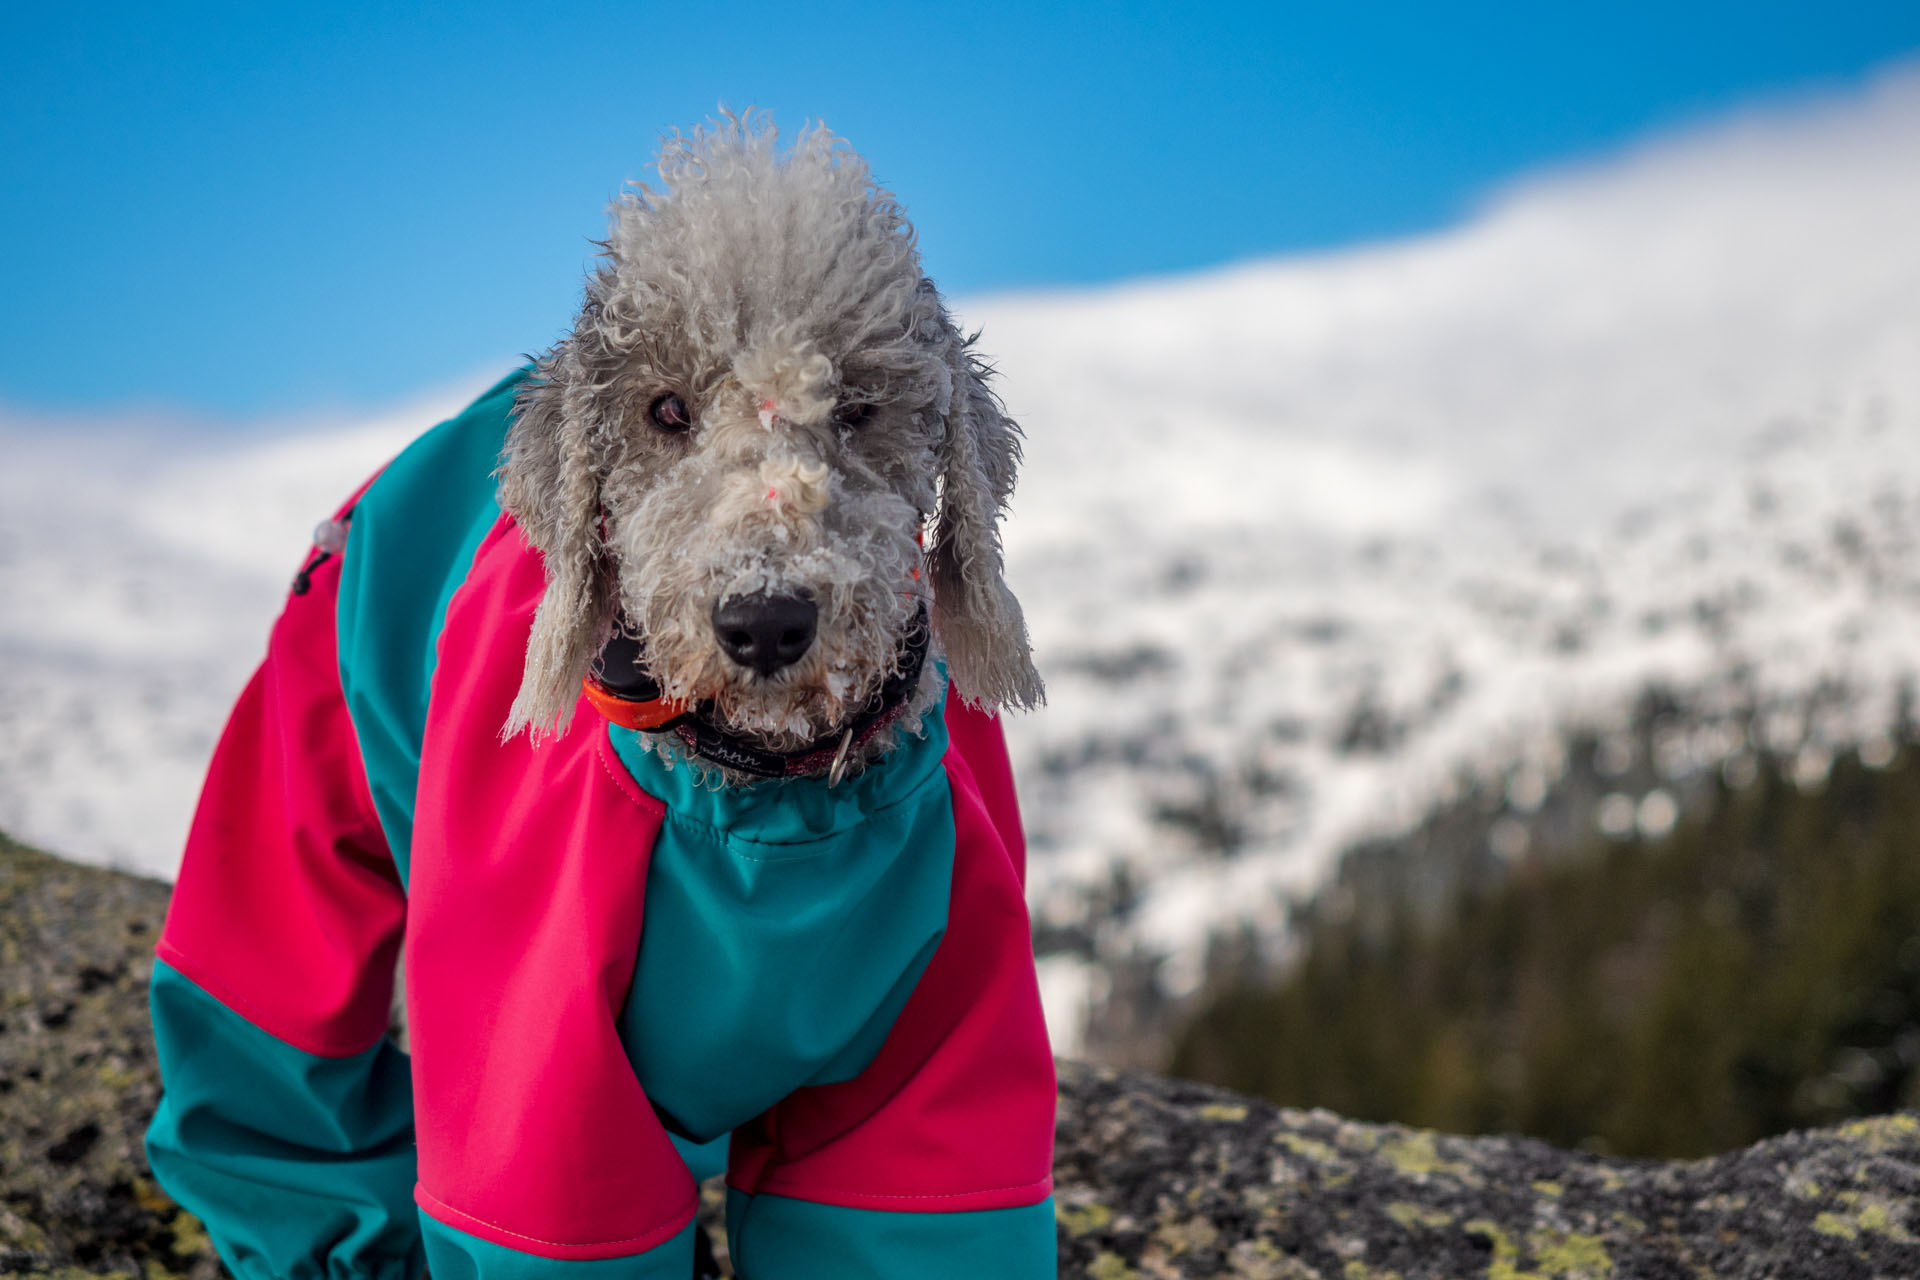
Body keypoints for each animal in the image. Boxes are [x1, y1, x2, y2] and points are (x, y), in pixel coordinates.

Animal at [142, 112, 1059, 1280]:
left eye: (858, 407)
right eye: (665, 410)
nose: (765, 620)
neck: (762, 814)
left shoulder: (936, 1076)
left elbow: (903, 1204)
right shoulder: (535, 1078)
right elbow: (544, 1204)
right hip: (301, 789)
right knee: (267, 999)